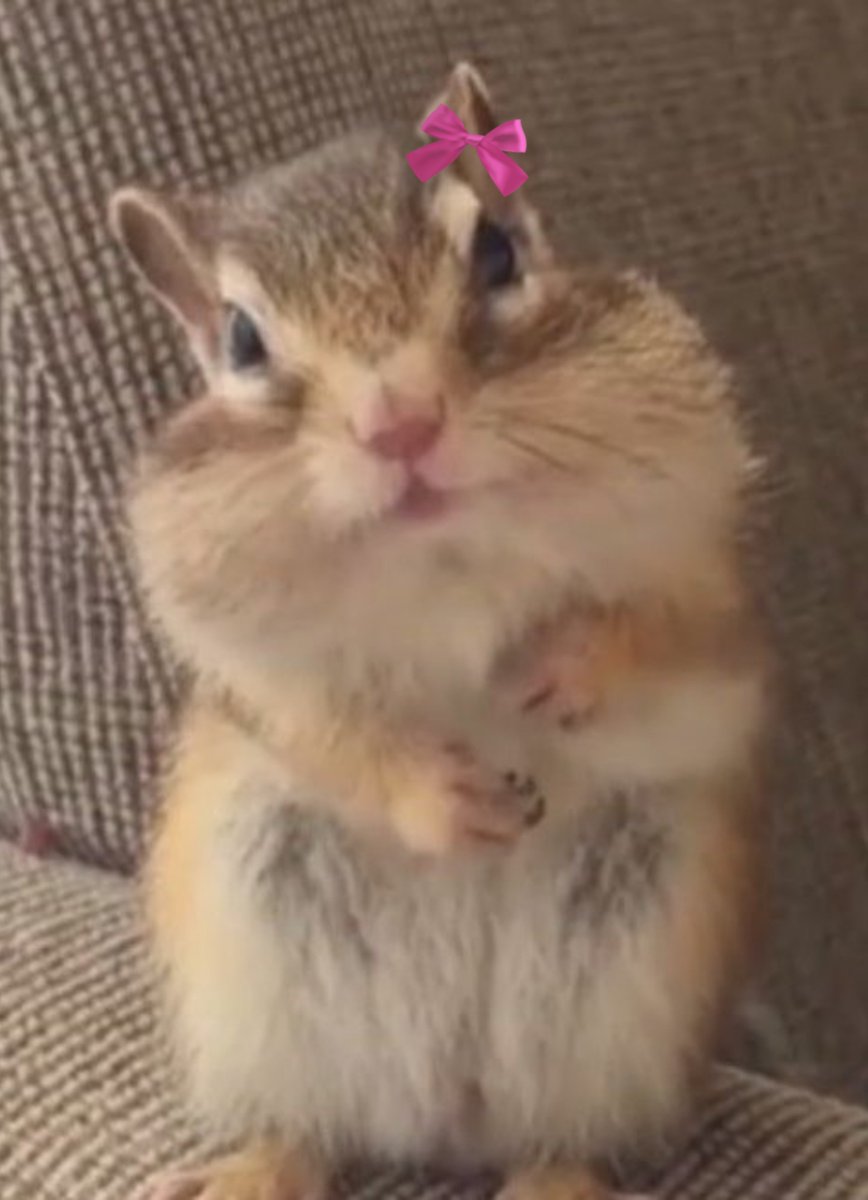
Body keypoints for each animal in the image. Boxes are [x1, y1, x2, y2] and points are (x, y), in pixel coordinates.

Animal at [112, 62, 768, 1200]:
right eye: (241, 340)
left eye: (499, 252)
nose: (401, 424)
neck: (443, 560)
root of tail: (450, 1120)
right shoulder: (254, 672)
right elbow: (325, 734)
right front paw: (439, 795)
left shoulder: (707, 571)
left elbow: (668, 630)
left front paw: (570, 662)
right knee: (309, 1129)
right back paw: (255, 1167)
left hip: (633, 983)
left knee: (564, 1139)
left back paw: (554, 1180)